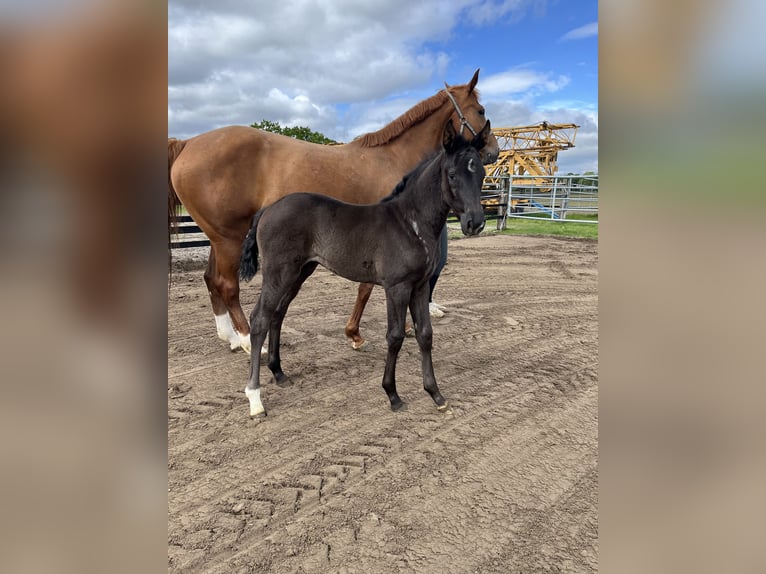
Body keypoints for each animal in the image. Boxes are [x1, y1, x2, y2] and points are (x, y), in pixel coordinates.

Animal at [168, 69, 499, 354]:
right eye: (481, 110)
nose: (493, 151)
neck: (392, 157)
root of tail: (188, 143)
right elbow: (366, 288)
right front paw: (355, 333)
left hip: (220, 238)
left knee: (211, 279)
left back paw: (230, 337)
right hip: (229, 239)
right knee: (227, 285)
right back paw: (249, 340)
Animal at [238, 119, 490, 417]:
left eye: (482, 173)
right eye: (452, 174)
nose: (475, 223)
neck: (411, 223)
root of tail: (267, 209)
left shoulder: (419, 286)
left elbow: (425, 335)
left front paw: (436, 395)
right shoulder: (397, 287)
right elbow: (395, 336)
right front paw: (393, 395)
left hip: (299, 272)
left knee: (278, 314)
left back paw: (278, 373)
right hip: (279, 272)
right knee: (260, 319)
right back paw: (255, 399)